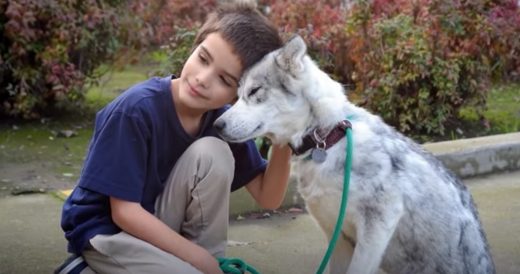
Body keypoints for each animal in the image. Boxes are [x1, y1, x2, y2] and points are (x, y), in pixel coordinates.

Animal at [214, 35, 496, 274]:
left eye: (253, 91)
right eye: (238, 94)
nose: (217, 125)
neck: (327, 140)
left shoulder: (377, 227)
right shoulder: (337, 236)